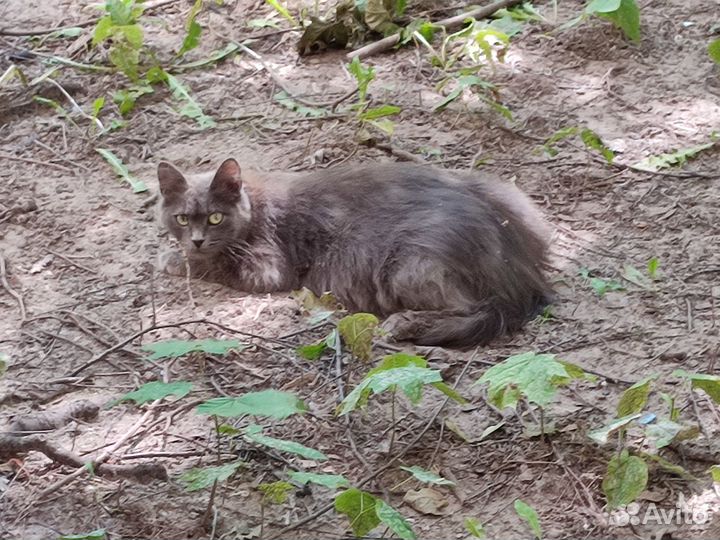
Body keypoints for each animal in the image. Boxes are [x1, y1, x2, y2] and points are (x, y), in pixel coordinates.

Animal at [158, 158, 552, 348]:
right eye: (181, 218)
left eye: (215, 217)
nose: (196, 240)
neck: (254, 204)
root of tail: (523, 278)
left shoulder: (267, 267)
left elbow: (215, 264)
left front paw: (176, 260)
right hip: (507, 194)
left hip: (411, 262)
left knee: (471, 308)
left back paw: (404, 324)